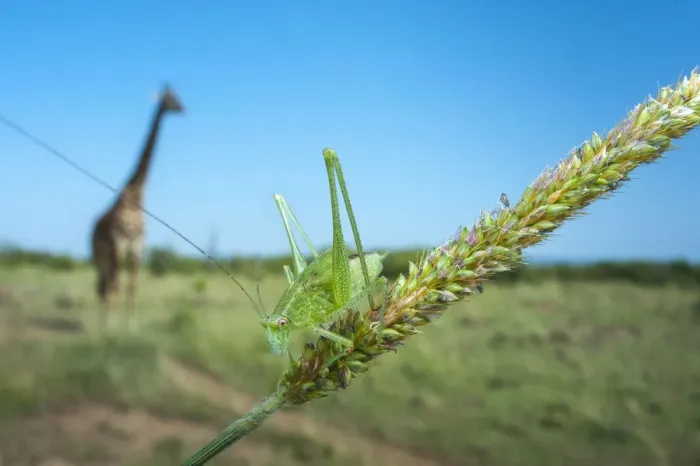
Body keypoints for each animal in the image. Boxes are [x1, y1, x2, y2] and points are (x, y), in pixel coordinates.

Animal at [90, 84, 184, 328]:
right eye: (170, 98)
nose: (184, 108)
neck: (135, 197)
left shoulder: (138, 248)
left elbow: (133, 287)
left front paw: (132, 325)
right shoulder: (121, 245)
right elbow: (119, 286)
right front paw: (113, 327)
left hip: (109, 257)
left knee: (104, 285)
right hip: (100, 256)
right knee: (104, 285)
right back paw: (102, 324)